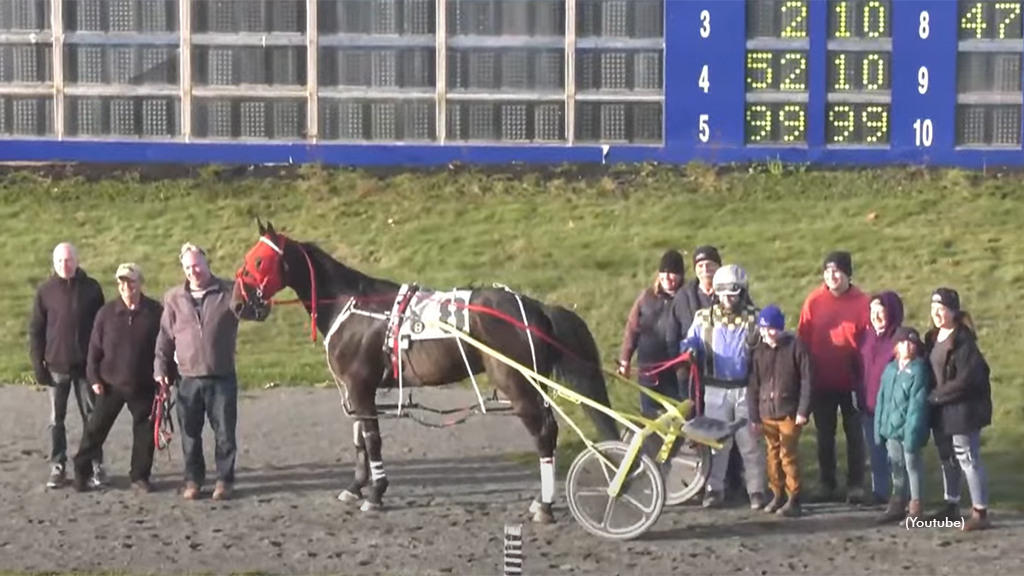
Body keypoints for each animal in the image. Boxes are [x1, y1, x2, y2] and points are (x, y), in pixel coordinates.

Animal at [229, 218, 618, 520]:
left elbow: (372, 439)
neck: (353, 306)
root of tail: (535, 307)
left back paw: (544, 503)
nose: (237, 304)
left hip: (518, 384)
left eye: (259, 261)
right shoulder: (354, 389)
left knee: (544, 433)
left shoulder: (360, 386)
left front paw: (376, 493)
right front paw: (356, 487)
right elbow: (358, 439)